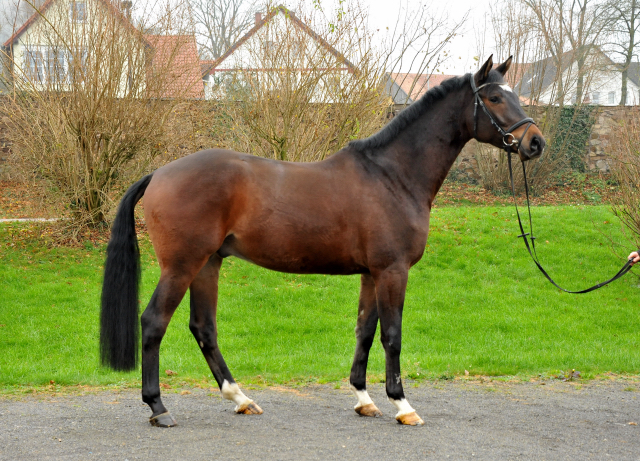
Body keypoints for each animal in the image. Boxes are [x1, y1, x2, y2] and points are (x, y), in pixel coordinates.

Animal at [100, 57, 544, 428]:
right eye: (493, 97)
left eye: (515, 94)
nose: (535, 142)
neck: (393, 175)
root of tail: (159, 173)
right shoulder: (392, 270)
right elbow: (392, 334)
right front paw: (402, 405)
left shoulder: (371, 274)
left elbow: (365, 330)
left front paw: (364, 399)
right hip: (182, 265)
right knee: (154, 322)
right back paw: (159, 408)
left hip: (209, 263)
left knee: (203, 327)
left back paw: (241, 398)